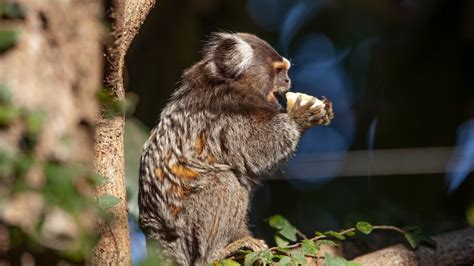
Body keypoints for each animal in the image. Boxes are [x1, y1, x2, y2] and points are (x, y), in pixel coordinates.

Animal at [138, 31, 334, 264]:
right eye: (279, 70)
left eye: (286, 71)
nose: (288, 80)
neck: (229, 85)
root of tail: (157, 237)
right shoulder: (225, 116)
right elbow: (257, 149)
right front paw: (299, 117)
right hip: (182, 231)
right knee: (224, 182)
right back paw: (218, 251)